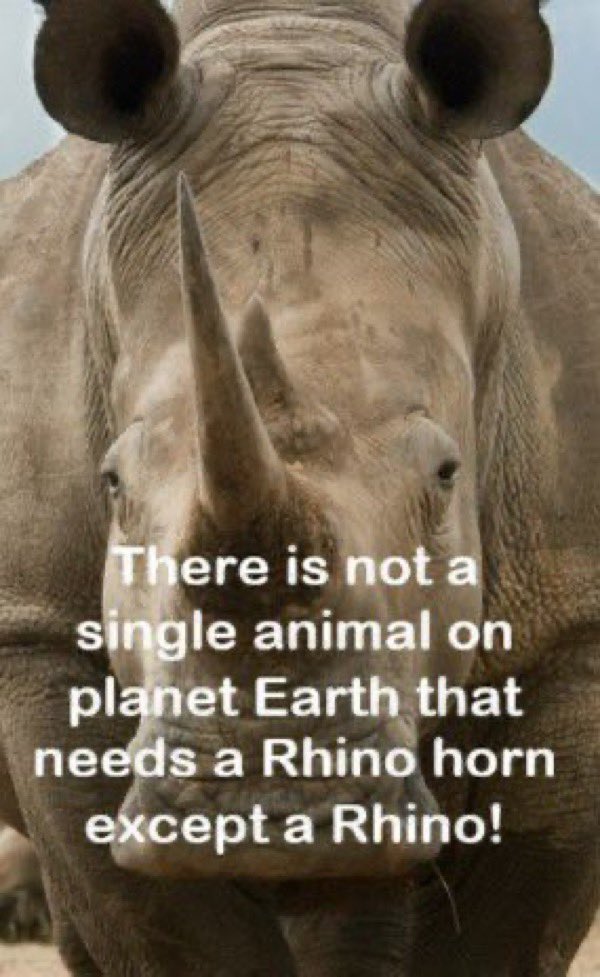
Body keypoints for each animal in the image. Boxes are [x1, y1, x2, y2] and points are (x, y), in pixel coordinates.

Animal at [0, 0, 598, 972]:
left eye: (446, 476)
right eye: (112, 484)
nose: (269, 810)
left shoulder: (571, 618)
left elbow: (501, 926)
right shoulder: (36, 629)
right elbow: (163, 925)